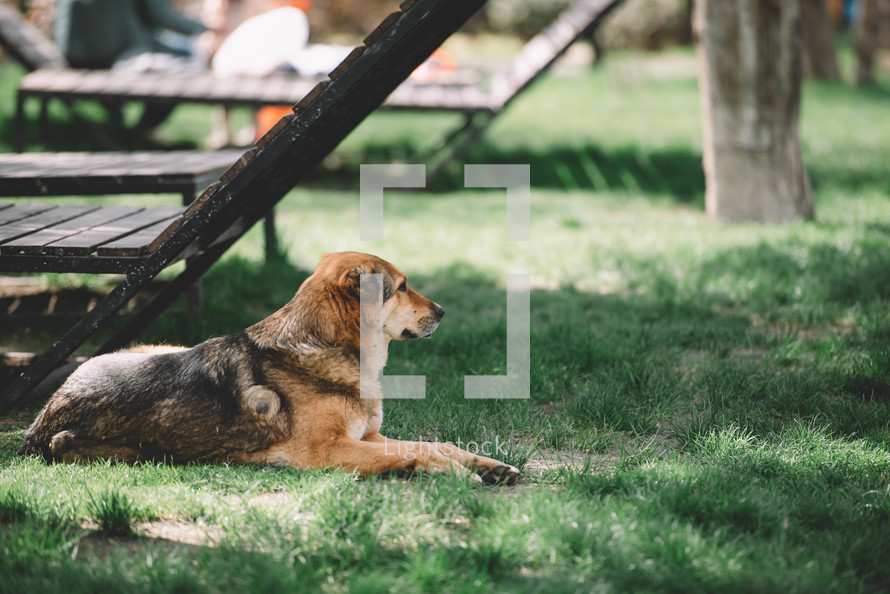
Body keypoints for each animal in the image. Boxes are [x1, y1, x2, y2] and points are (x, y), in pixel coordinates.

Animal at [19, 252, 520, 484]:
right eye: (401, 287)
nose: (443, 312)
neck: (324, 347)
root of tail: (42, 419)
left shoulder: (368, 436)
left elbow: (436, 443)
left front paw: (488, 464)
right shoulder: (330, 452)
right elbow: (416, 453)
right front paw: (455, 473)